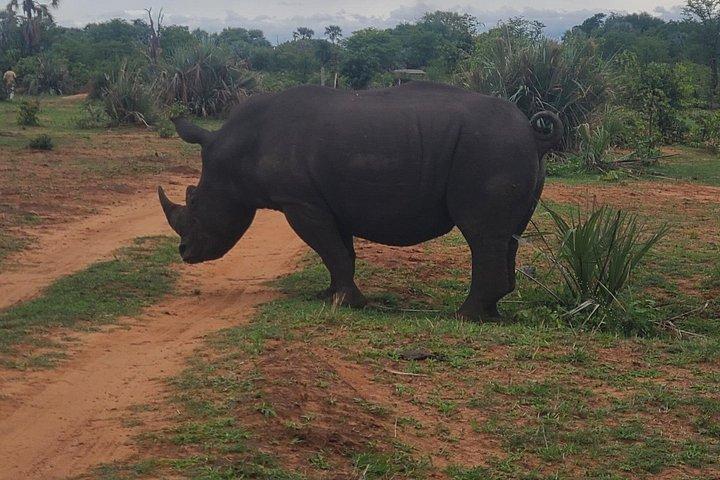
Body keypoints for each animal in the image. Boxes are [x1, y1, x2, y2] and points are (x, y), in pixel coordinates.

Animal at [159, 82, 561, 321]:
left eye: (194, 202)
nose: (184, 252)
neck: (235, 153)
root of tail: (532, 133)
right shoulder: (326, 200)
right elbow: (340, 252)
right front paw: (330, 296)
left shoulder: (300, 201)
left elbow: (330, 250)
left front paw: (344, 303)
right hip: (508, 150)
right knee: (507, 236)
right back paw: (489, 315)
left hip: (491, 148)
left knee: (481, 235)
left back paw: (463, 317)